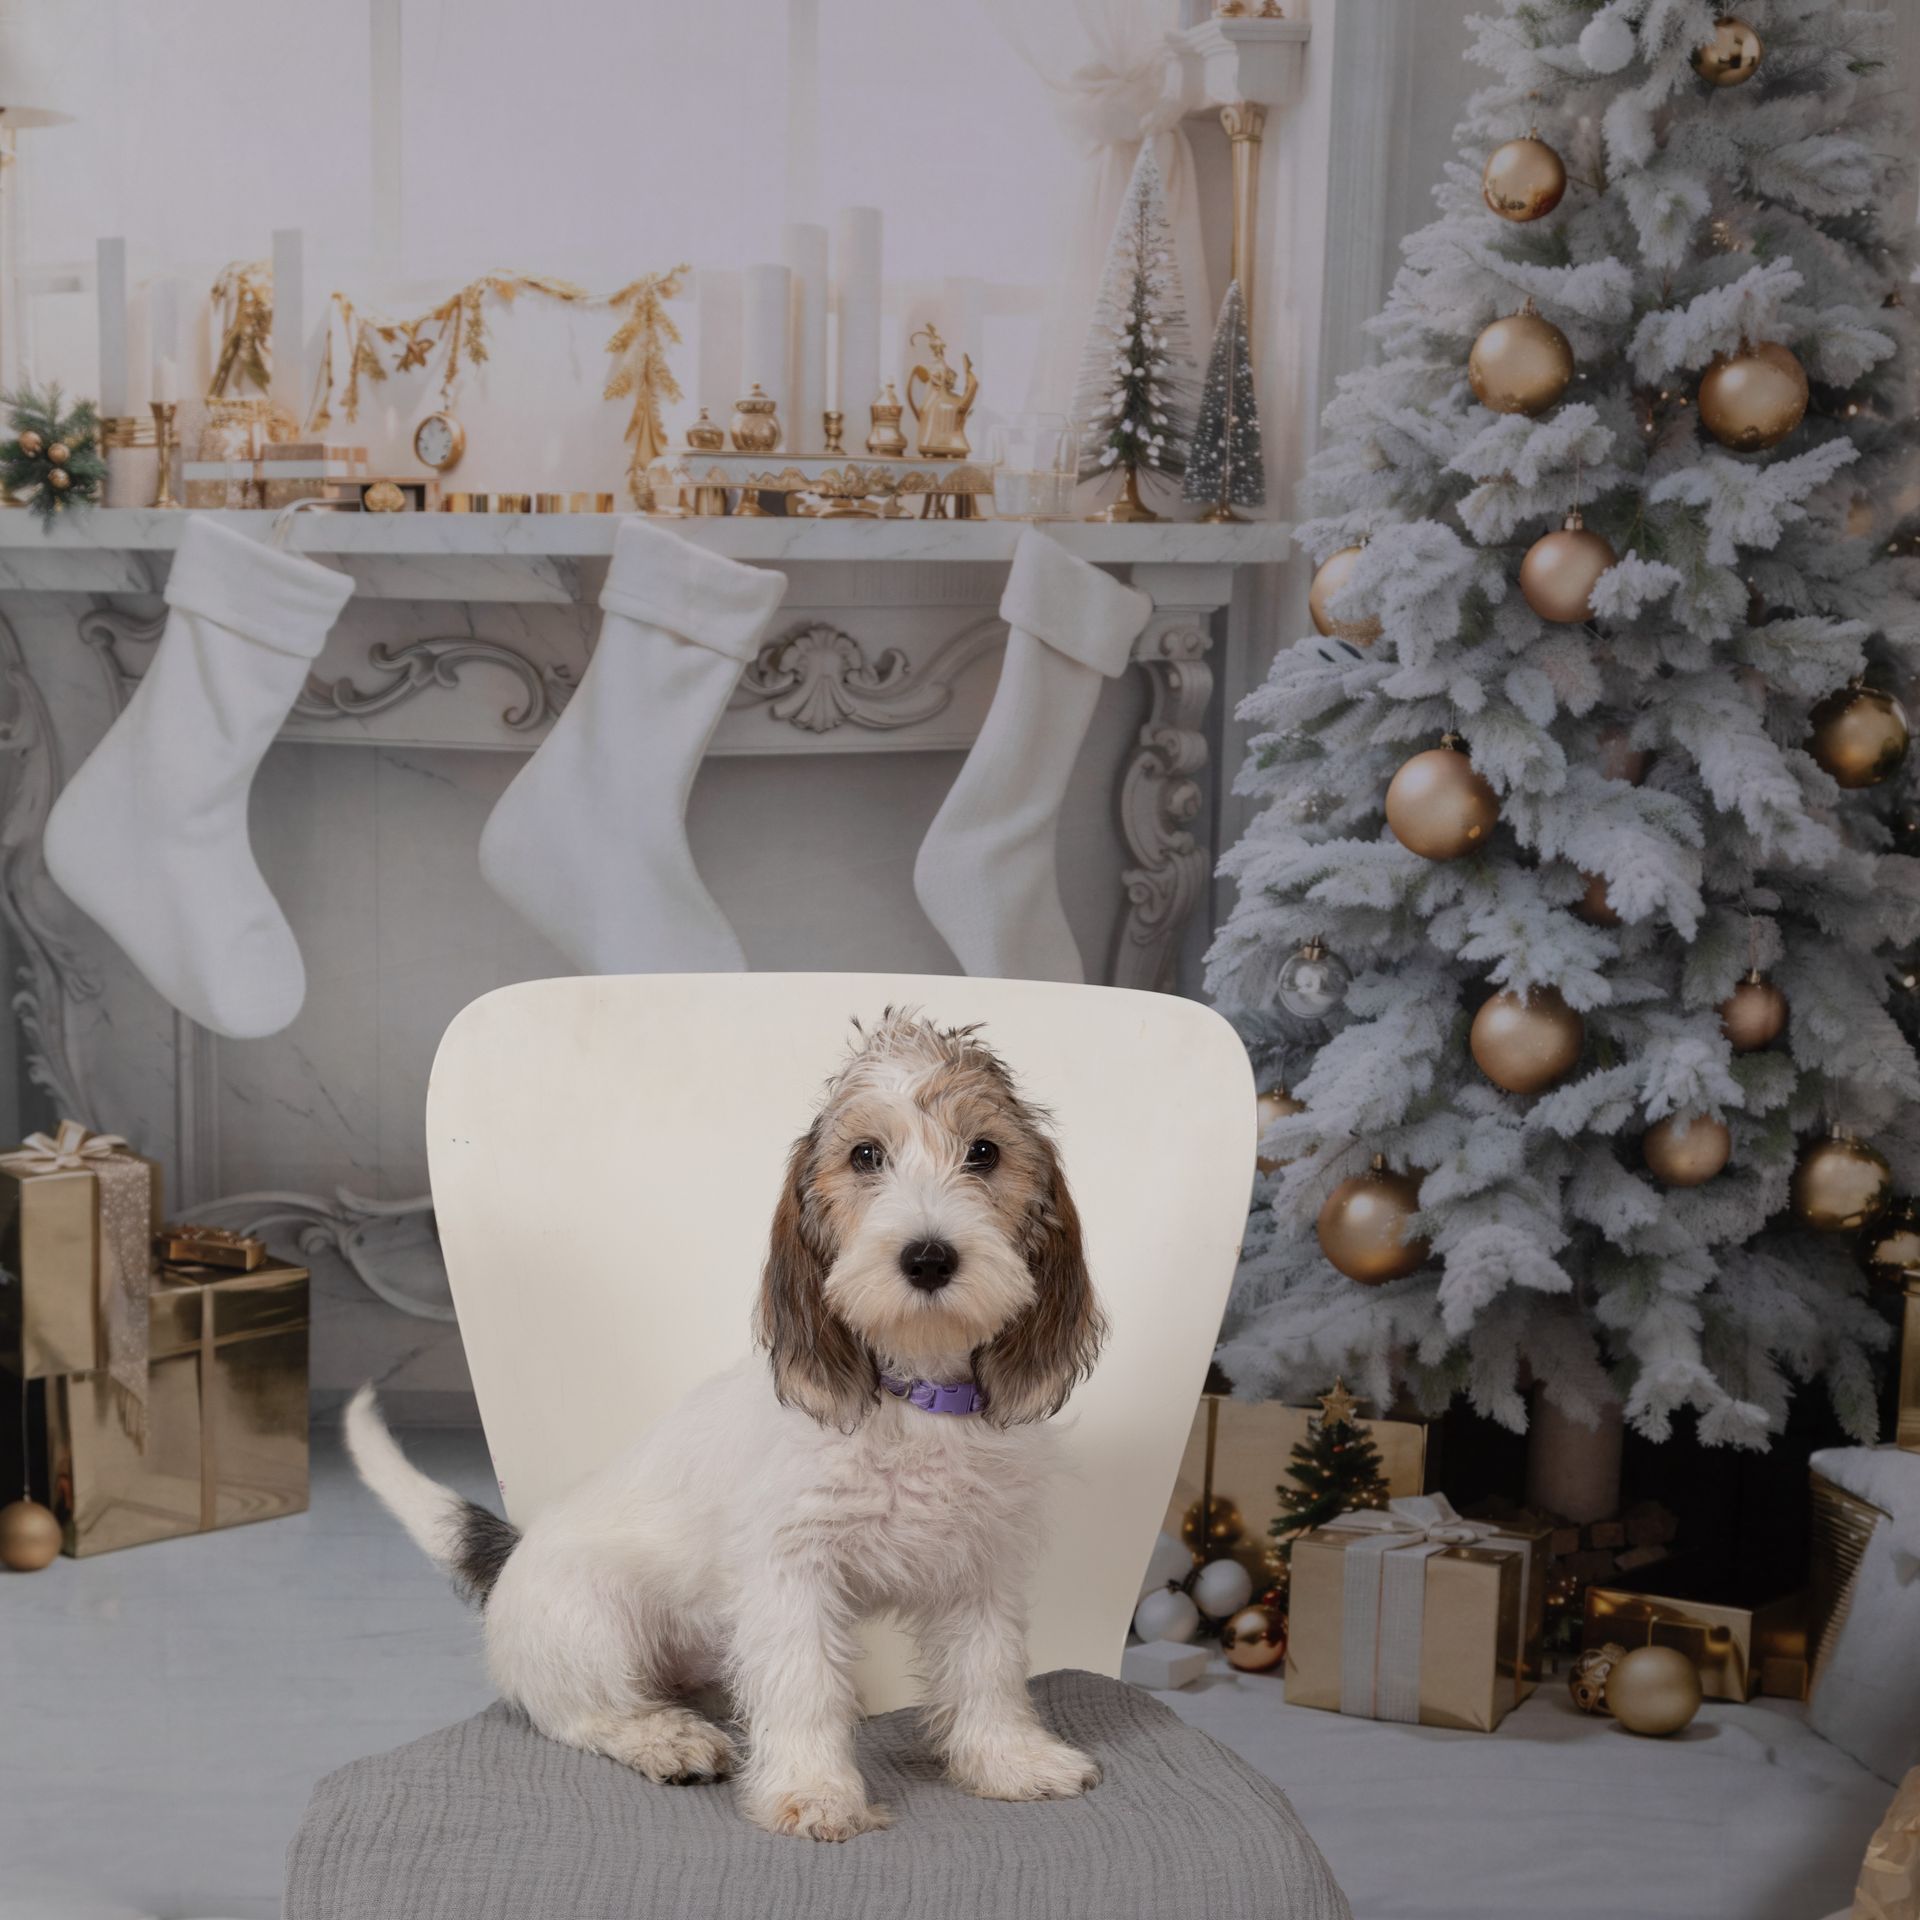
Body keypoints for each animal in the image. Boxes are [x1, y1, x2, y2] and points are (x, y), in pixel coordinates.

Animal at [341, 1013, 1113, 1835]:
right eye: (865, 1155)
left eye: (985, 1152)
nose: (928, 1259)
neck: (914, 1399)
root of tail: (512, 1553)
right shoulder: (791, 1573)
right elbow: (803, 1684)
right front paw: (814, 1790)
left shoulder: (980, 1568)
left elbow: (988, 1669)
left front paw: (1008, 1760)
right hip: (591, 1626)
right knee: (586, 1716)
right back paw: (666, 1739)